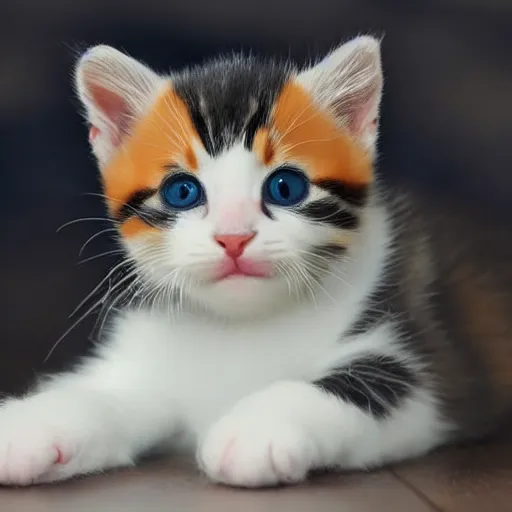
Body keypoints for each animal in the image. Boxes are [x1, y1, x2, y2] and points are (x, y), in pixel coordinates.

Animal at [1, 36, 512, 488]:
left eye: (285, 188)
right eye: (182, 191)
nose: (234, 238)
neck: (241, 327)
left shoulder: (433, 356)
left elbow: (367, 382)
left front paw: (258, 428)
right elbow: (106, 391)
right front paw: (33, 422)